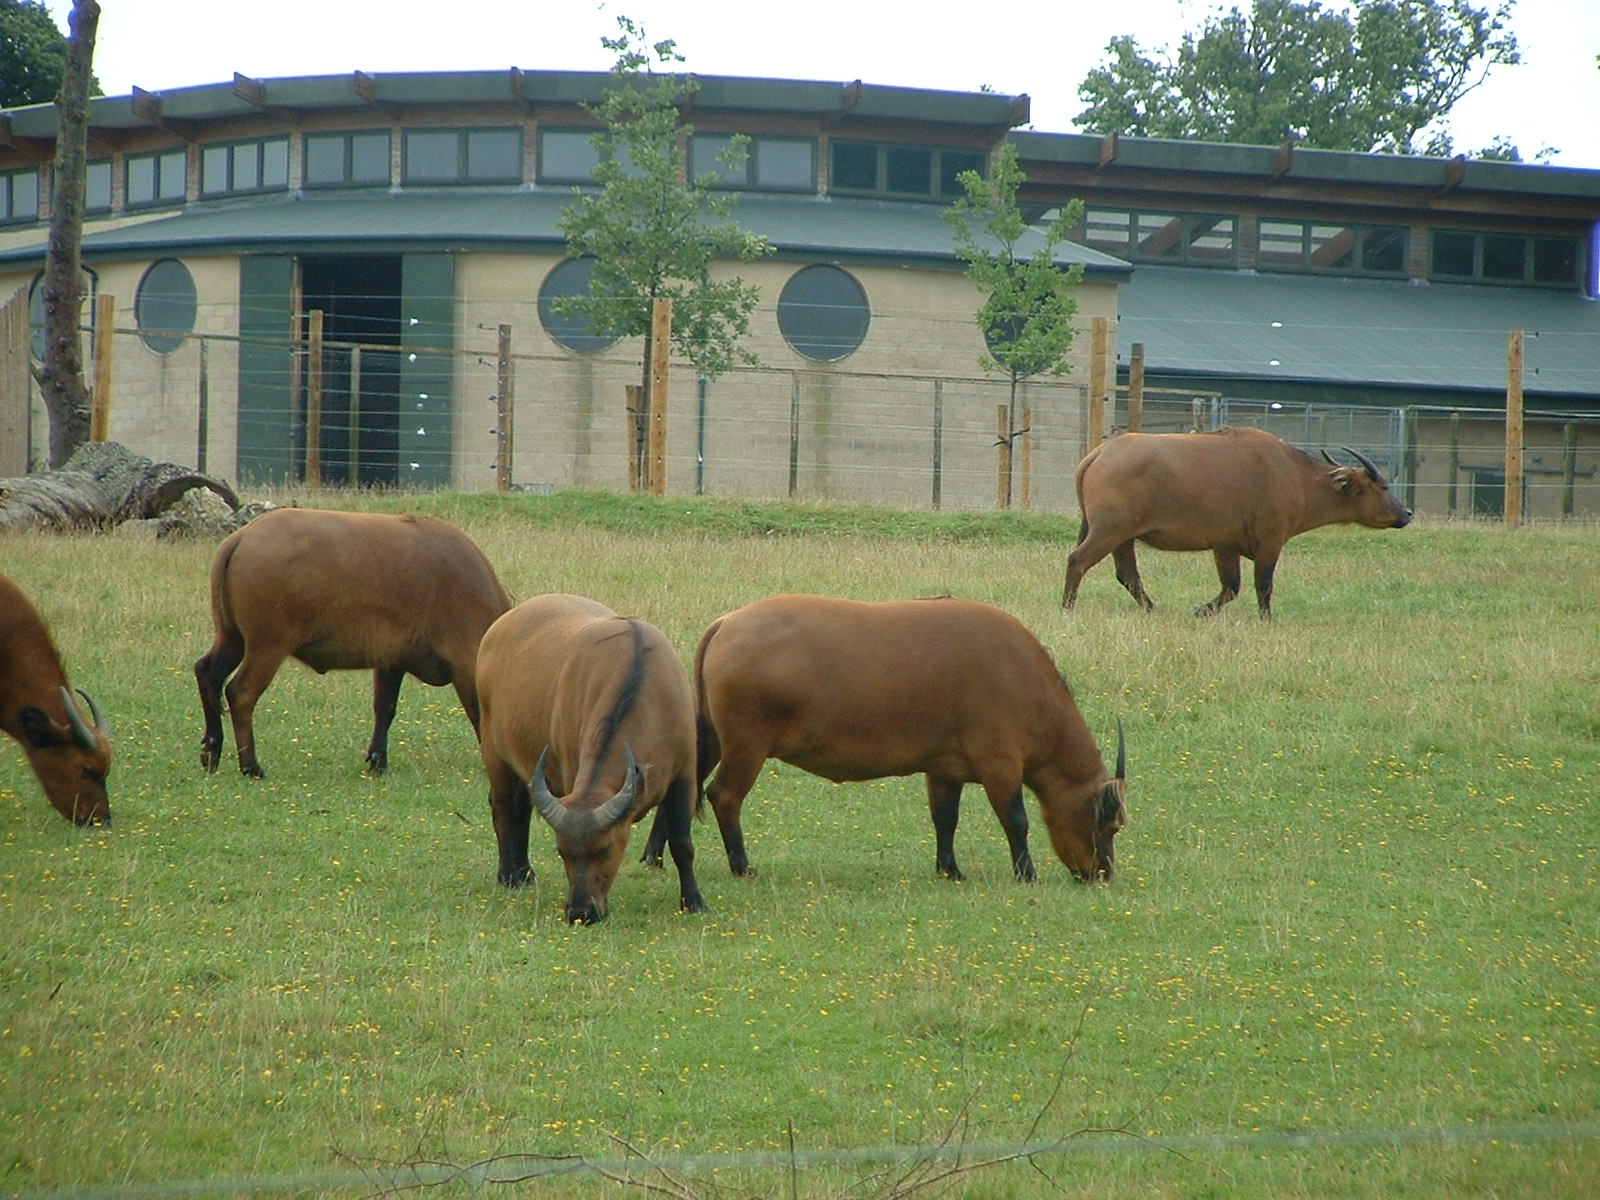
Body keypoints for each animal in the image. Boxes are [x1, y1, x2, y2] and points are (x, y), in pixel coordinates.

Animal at [195, 508, 511, 777]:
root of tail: (243, 537)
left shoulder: (391, 662)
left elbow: (385, 708)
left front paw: (378, 761)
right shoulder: (464, 663)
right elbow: (476, 711)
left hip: (231, 638)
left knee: (207, 673)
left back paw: (212, 750)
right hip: (267, 647)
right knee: (241, 692)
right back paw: (251, 766)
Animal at [475, 594, 706, 924]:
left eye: (605, 849)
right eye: (562, 851)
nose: (580, 911)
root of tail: (499, 627)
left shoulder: (685, 775)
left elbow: (682, 843)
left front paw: (694, 901)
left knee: (521, 807)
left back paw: (525, 872)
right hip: (495, 752)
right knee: (504, 806)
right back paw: (510, 875)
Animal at [665, 594, 1126, 883]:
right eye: (1110, 824)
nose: (1102, 874)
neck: (1020, 677)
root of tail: (728, 622)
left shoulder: (944, 771)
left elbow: (945, 818)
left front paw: (949, 869)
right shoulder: (1001, 765)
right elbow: (1016, 820)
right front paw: (1026, 873)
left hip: (711, 739)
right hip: (746, 748)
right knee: (723, 796)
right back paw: (741, 865)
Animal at [1062, 427, 1412, 619]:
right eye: (1383, 487)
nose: (1407, 513)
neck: (1293, 474)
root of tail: (1100, 453)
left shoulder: (1224, 546)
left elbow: (1230, 587)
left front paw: (1200, 611)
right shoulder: (1271, 542)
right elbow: (1263, 584)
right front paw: (1266, 619)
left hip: (1119, 536)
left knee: (1128, 575)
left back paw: (1151, 609)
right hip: (1109, 531)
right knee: (1077, 560)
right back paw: (1067, 607)